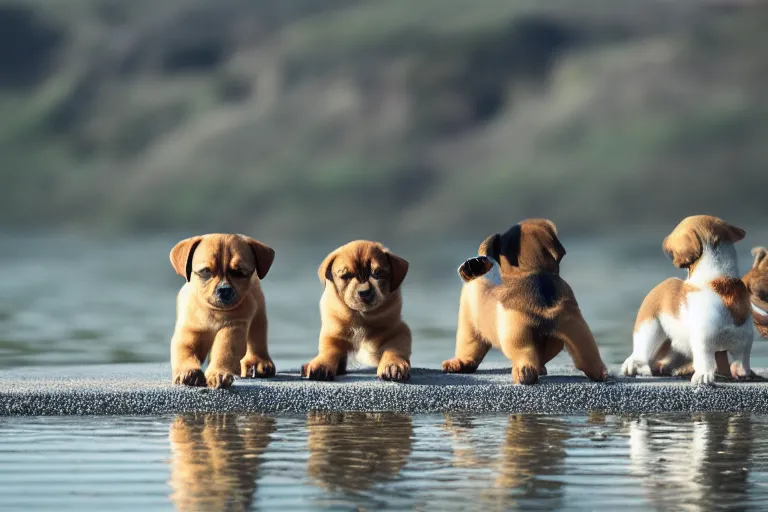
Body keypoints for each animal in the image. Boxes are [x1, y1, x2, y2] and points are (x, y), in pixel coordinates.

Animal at [170, 235, 274, 388]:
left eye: (239, 273)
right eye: (205, 271)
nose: (224, 290)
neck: (214, 312)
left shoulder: (232, 329)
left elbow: (224, 353)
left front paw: (217, 373)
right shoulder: (189, 333)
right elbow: (184, 353)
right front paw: (187, 372)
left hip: (259, 317)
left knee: (257, 339)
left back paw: (258, 361)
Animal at [302, 242, 414, 382]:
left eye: (377, 274)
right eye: (346, 276)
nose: (364, 292)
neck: (362, 317)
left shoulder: (398, 332)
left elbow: (394, 350)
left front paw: (393, 365)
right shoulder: (333, 336)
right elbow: (328, 350)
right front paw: (321, 364)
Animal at [440, 219, 608, 384]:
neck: (532, 269)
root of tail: (545, 310)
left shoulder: (470, 321)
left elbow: (469, 346)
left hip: (517, 335)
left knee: (525, 356)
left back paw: (524, 373)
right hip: (577, 330)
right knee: (587, 357)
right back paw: (599, 373)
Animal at [620, 214, 752, 386]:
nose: (663, 241)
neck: (719, 278)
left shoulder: (741, 340)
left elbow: (741, 359)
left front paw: (742, 373)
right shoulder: (704, 340)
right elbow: (706, 359)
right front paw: (704, 376)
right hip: (650, 327)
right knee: (642, 348)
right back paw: (636, 365)